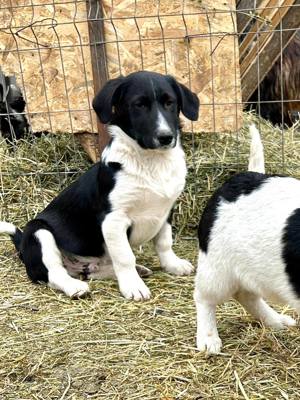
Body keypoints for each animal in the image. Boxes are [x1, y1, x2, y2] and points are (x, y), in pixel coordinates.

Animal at [1, 70, 200, 298]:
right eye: (138, 105)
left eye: (170, 103)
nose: (166, 137)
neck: (152, 161)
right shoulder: (113, 219)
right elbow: (125, 257)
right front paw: (133, 286)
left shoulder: (166, 211)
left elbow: (164, 243)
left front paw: (173, 265)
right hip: (38, 231)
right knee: (54, 273)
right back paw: (75, 286)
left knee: (92, 270)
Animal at [195, 125, 298, 354]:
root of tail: (248, 175)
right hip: (216, 268)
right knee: (204, 298)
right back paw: (208, 340)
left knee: (247, 295)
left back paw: (277, 322)